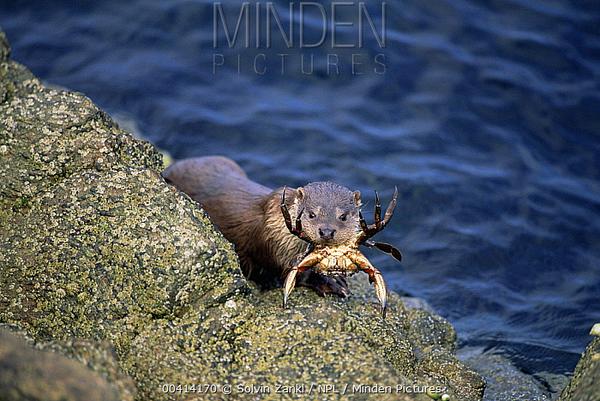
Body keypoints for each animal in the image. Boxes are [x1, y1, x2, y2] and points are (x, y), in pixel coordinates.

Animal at [162, 155, 366, 296]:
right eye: (311, 214)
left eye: (343, 216)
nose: (327, 231)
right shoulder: (277, 244)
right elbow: (293, 273)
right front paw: (331, 281)